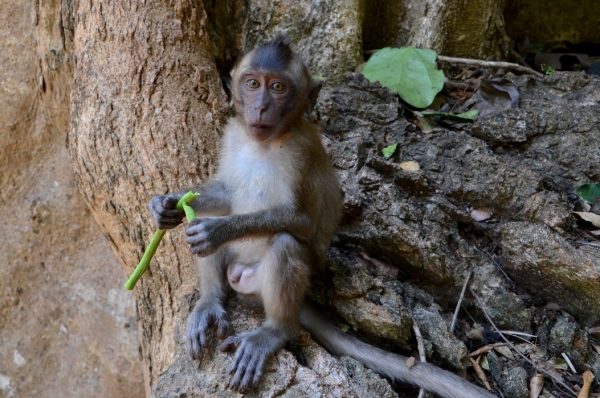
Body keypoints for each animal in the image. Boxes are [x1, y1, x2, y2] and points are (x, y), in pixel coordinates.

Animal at [150, 35, 496, 398]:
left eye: (277, 87)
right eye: (252, 84)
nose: (260, 107)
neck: (266, 141)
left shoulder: (300, 151)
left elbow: (301, 221)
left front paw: (218, 230)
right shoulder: (233, 134)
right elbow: (223, 194)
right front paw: (167, 204)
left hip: (264, 282)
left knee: (284, 245)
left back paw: (274, 331)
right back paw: (211, 301)